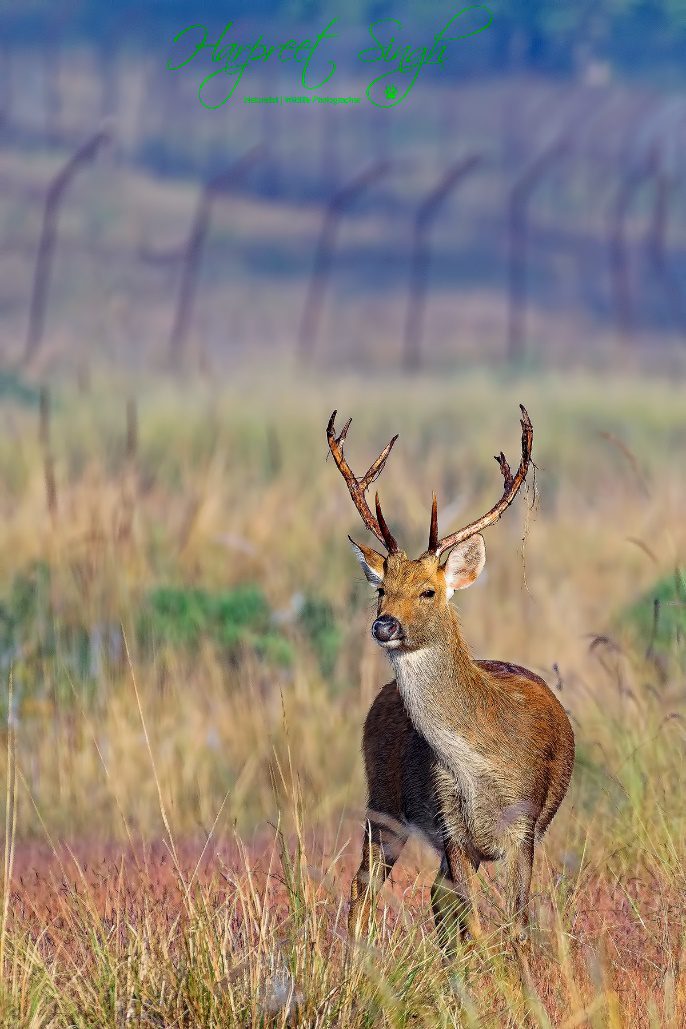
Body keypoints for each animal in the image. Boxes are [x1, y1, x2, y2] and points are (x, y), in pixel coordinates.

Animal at [327, 405, 575, 950]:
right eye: (381, 590)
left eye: (428, 591)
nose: (384, 625)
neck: (481, 768)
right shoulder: (453, 828)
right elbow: (476, 925)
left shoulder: (523, 828)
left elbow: (517, 924)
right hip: (382, 801)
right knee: (365, 887)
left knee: (433, 897)